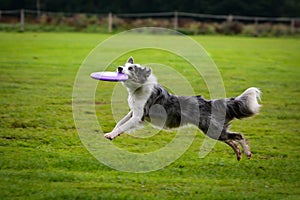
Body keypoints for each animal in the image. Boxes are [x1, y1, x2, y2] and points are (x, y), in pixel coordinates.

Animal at [104, 57, 262, 160]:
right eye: (124, 65)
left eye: (130, 68)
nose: (119, 68)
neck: (138, 88)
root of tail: (209, 102)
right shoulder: (133, 112)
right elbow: (120, 123)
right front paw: (112, 133)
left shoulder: (139, 116)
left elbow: (123, 125)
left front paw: (111, 135)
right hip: (214, 130)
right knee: (232, 139)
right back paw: (239, 153)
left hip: (211, 128)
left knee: (238, 136)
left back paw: (247, 153)